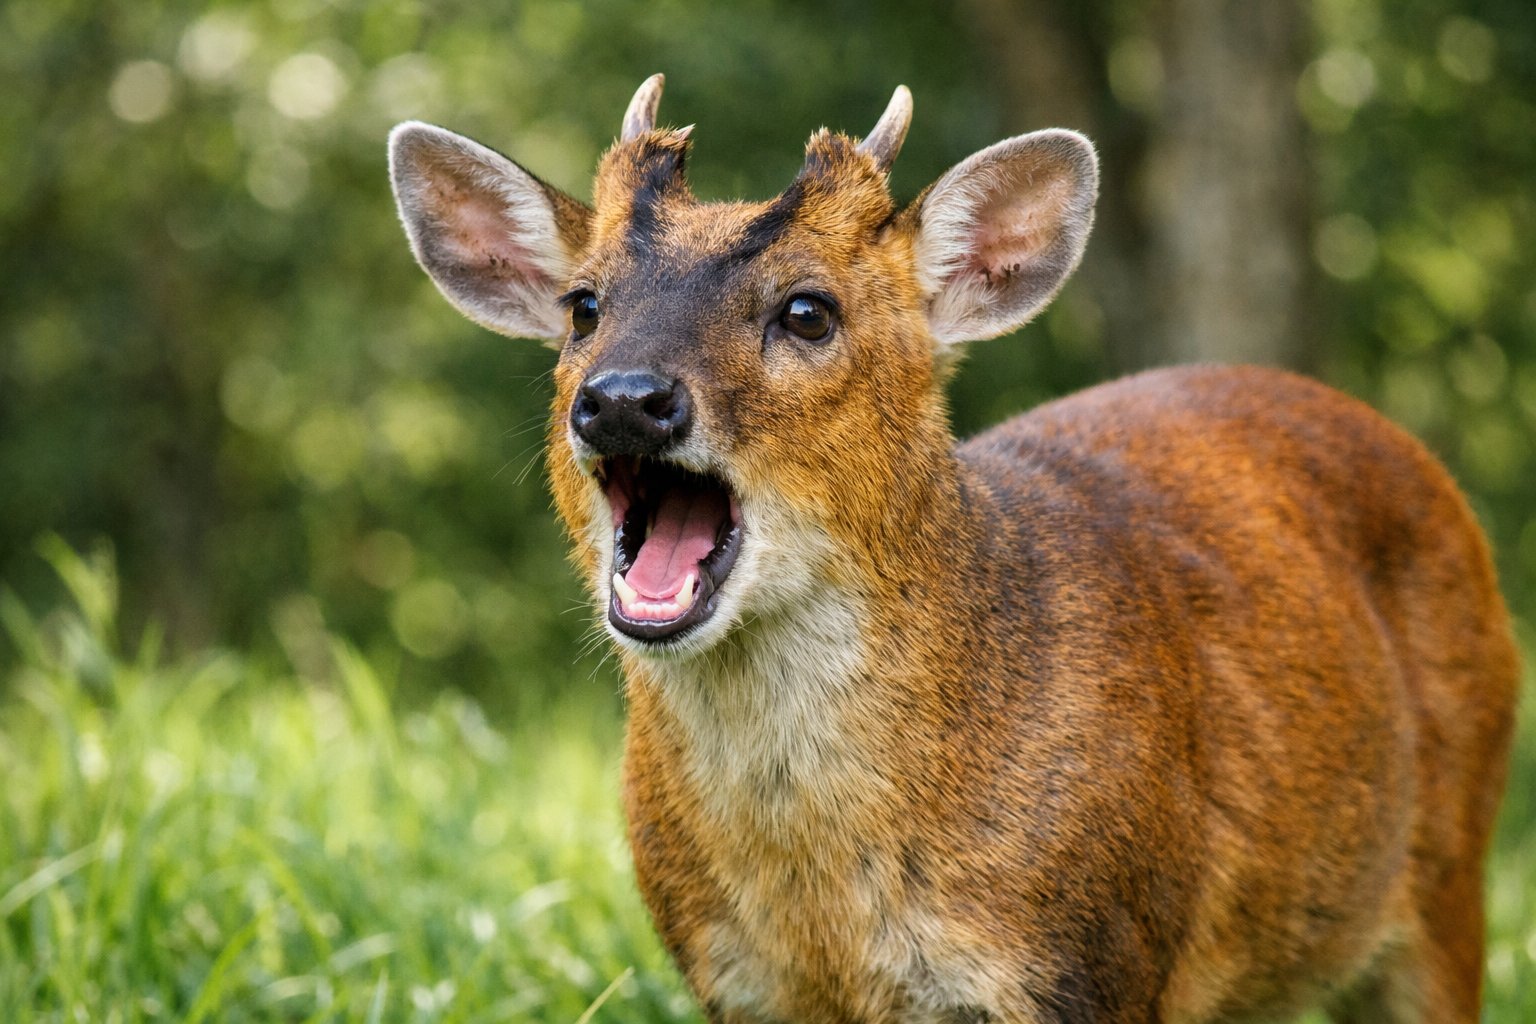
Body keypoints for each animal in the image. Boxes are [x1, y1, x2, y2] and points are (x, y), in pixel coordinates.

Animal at [388, 75, 1517, 1023]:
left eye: (809, 310)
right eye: (584, 305)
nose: (625, 398)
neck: (825, 910)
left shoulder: (1089, 964)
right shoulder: (736, 983)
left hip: (1456, 868)